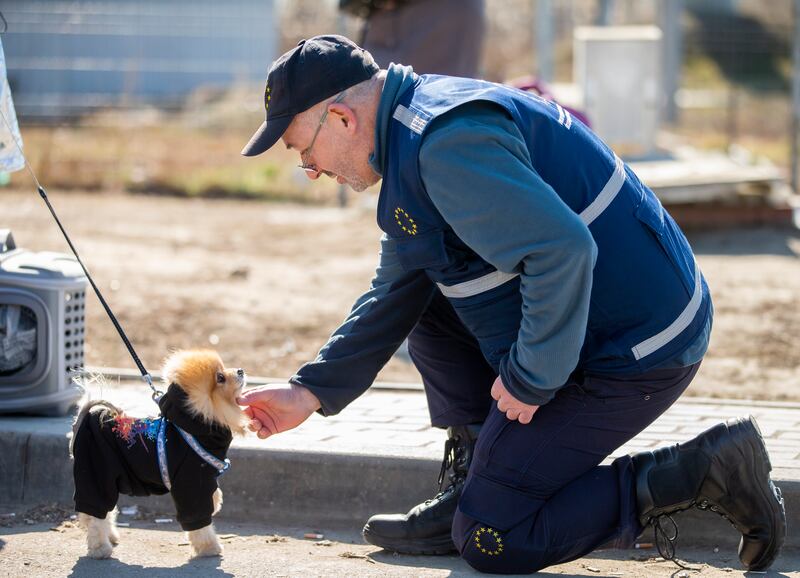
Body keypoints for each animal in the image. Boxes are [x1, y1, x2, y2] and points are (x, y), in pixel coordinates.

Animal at [70, 348, 245, 556]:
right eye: (220, 378)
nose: (240, 370)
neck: (197, 426)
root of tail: (84, 419)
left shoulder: (206, 479)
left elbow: (214, 494)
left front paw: (216, 501)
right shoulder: (191, 485)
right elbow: (199, 522)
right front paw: (209, 548)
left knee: (101, 514)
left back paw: (110, 537)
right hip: (96, 473)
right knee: (96, 515)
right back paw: (100, 549)